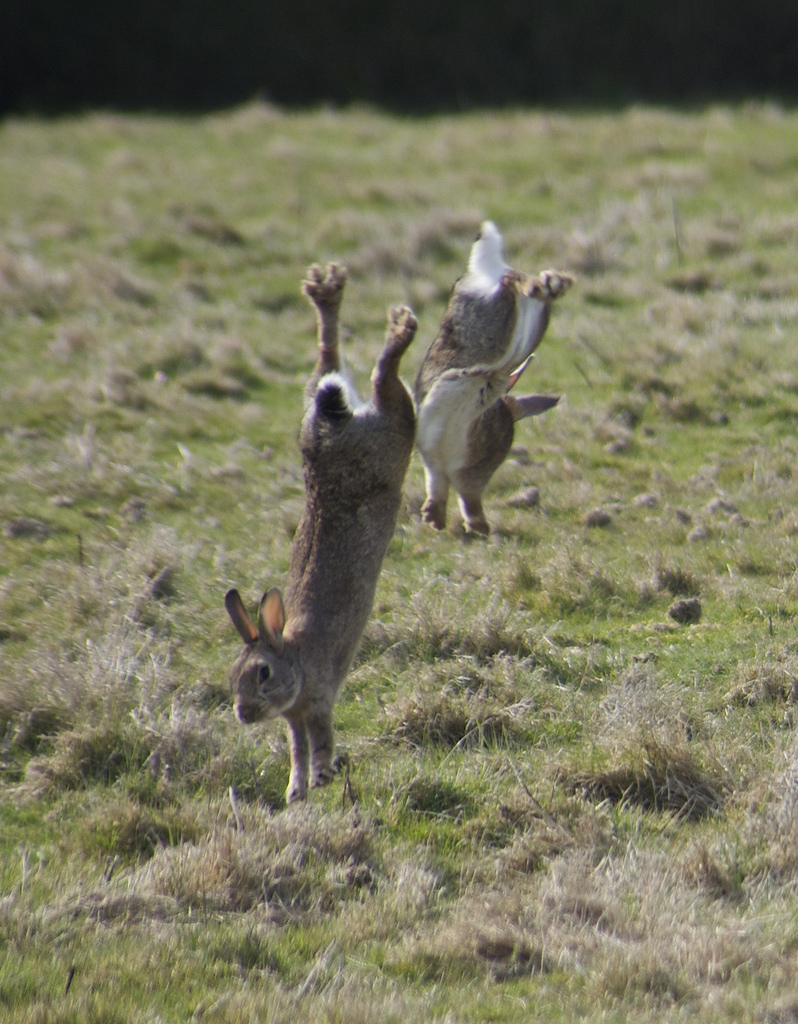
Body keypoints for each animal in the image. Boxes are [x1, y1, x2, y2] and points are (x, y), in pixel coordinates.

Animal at [221, 262, 415, 798]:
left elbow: (321, 740)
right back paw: (327, 294)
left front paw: (324, 776)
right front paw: (296, 791)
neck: (295, 655)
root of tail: (325, 437)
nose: (243, 714)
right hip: (324, 406)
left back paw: (399, 329)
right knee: (329, 358)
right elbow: (296, 750)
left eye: (263, 674)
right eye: (233, 675)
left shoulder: (321, 699)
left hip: (394, 438)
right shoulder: (294, 719)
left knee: (387, 383)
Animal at [415, 219, 569, 532]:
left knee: (516, 284)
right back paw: (553, 283)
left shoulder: (453, 470)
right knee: (520, 285)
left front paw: (441, 518)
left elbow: (452, 492)